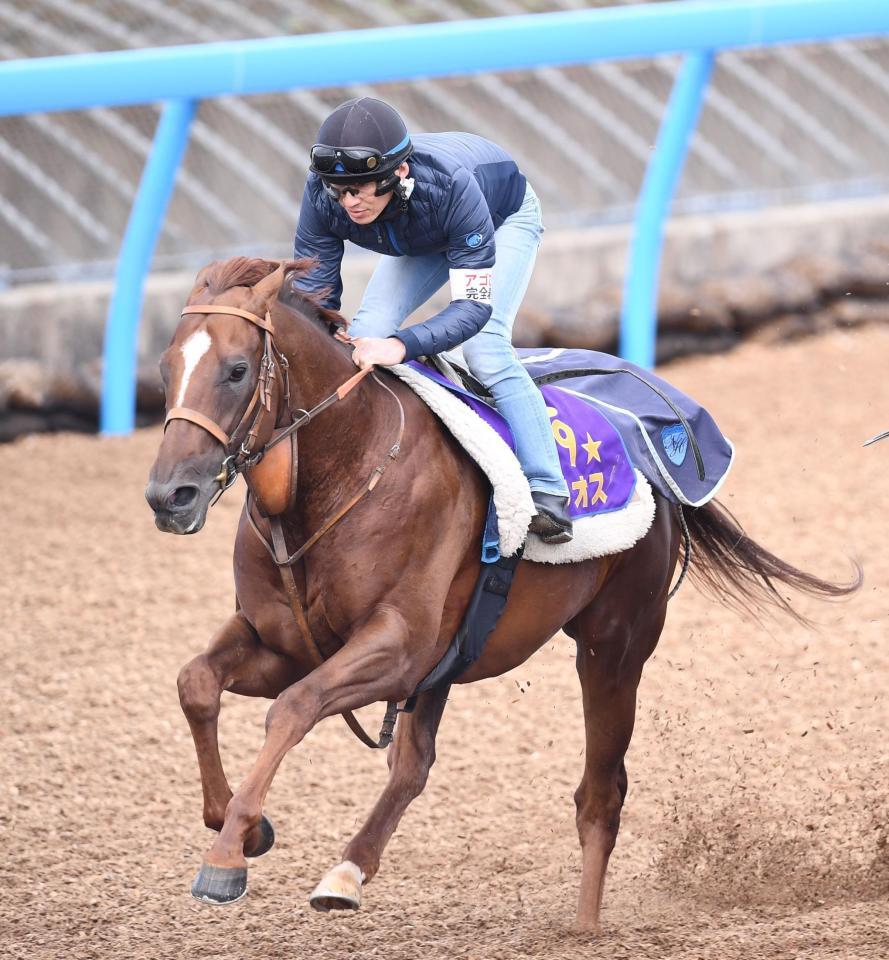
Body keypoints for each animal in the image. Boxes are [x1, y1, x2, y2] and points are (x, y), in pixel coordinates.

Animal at [149, 258, 856, 932]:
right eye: (164, 367)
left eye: (237, 369)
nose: (169, 496)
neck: (339, 474)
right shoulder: (285, 642)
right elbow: (196, 683)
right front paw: (242, 826)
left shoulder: (396, 648)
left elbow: (292, 708)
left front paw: (226, 857)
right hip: (453, 660)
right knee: (414, 764)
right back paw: (346, 873)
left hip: (615, 645)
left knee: (600, 794)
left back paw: (585, 928)